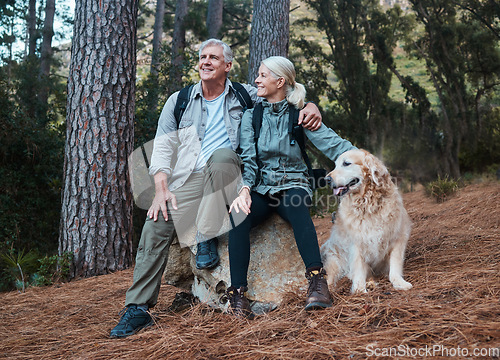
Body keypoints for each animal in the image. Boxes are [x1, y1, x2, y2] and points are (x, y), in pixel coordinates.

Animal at [320, 149, 414, 292]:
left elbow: (395, 265)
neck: (367, 203)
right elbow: (358, 268)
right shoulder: (356, 243)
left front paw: (399, 282)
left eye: (346, 163)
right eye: (335, 165)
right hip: (334, 262)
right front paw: (359, 290)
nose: (326, 180)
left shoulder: (398, 237)